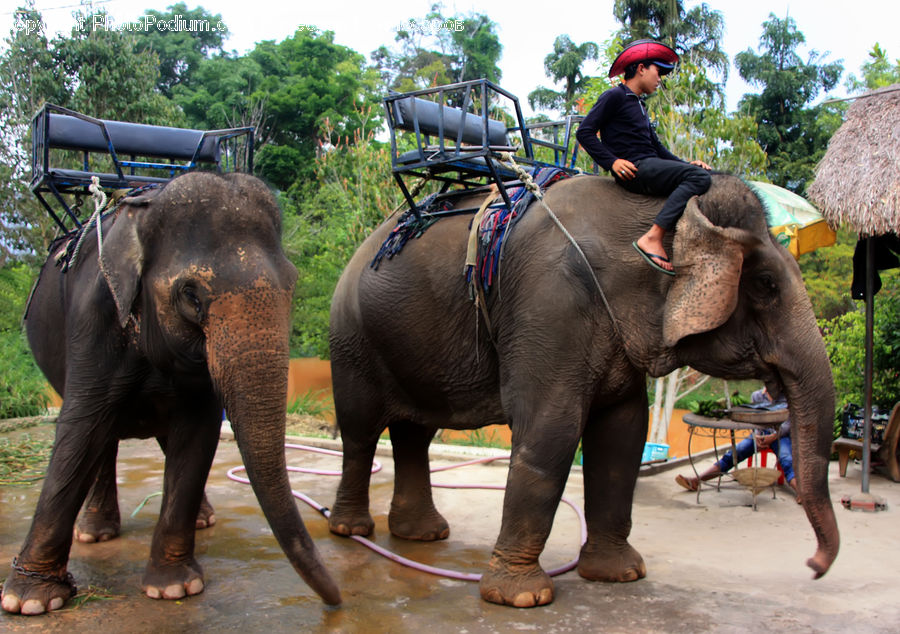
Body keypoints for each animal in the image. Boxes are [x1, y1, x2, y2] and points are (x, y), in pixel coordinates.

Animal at [1, 172, 340, 615]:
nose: (337, 601)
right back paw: (95, 533)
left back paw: (201, 519)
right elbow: (79, 430)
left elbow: (196, 434)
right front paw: (28, 602)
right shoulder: (95, 318)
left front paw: (173, 588)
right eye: (191, 296)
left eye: (293, 284)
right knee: (103, 438)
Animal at [327, 173, 839, 607]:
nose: (813, 566)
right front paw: (521, 598)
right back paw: (351, 530)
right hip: (351, 340)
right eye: (766, 285)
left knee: (414, 433)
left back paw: (423, 536)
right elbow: (551, 430)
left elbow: (622, 434)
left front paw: (621, 576)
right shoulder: (550, 304)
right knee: (360, 432)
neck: (654, 213)